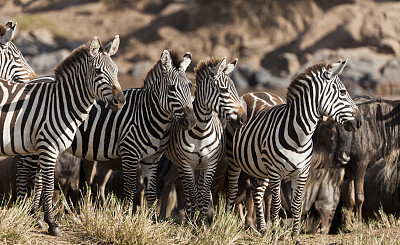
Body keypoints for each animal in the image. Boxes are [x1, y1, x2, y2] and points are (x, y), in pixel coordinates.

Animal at [0, 35, 125, 236]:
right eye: (98, 71)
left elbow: (42, 182)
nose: (120, 101)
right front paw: (52, 224)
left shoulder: (48, 148)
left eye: (116, 71)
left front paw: (39, 219)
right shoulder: (49, 147)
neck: (61, 103)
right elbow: (49, 184)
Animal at [16, 49, 196, 211]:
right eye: (171, 88)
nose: (191, 121)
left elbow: (151, 194)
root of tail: (33, 80)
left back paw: (33, 210)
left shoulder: (152, 159)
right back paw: (23, 207)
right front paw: (127, 218)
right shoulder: (129, 154)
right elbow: (130, 190)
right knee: (23, 170)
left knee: (39, 175)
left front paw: (150, 221)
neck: (148, 114)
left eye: (190, 86)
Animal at [163, 56, 245, 221]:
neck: (201, 131)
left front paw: (201, 221)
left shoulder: (210, 163)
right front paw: (193, 220)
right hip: (180, 164)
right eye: (224, 90)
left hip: (199, 167)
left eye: (235, 89)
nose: (243, 118)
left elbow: (204, 195)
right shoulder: (187, 164)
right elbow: (193, 193)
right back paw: (187, 216)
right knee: (184, 188)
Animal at [227, 59, 360, 241]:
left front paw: (295, 235)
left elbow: (297, 205)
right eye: (343, 92)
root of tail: (253, 92)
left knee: (257, 191)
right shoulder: (275, 172)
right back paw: (227, 223)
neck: (300, 137)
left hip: (259, 166)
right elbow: (276, 205)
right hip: (234, 159)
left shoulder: (302, 173)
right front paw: (275, 234)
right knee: (233, 190)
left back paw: (262, 228)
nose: (359, 121)